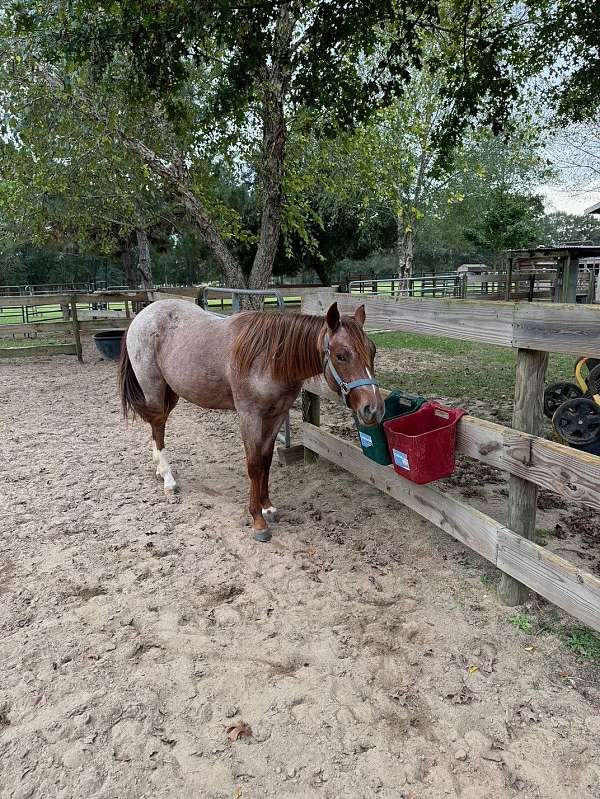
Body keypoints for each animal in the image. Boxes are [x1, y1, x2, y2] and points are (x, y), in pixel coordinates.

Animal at [117, 300, 384, 544]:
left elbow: (265, 460)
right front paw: (258, 520)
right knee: (157, 424)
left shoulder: (276, 416)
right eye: (341, 355)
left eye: (372, 350)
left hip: (171, 391)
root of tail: (143, 314)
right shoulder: (250, 416)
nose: (374, 409)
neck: (269, 359)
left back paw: (159, 468)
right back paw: (168, 479)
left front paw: (268, 506)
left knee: (158, 425)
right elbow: (254, 464)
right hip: (154, 389)